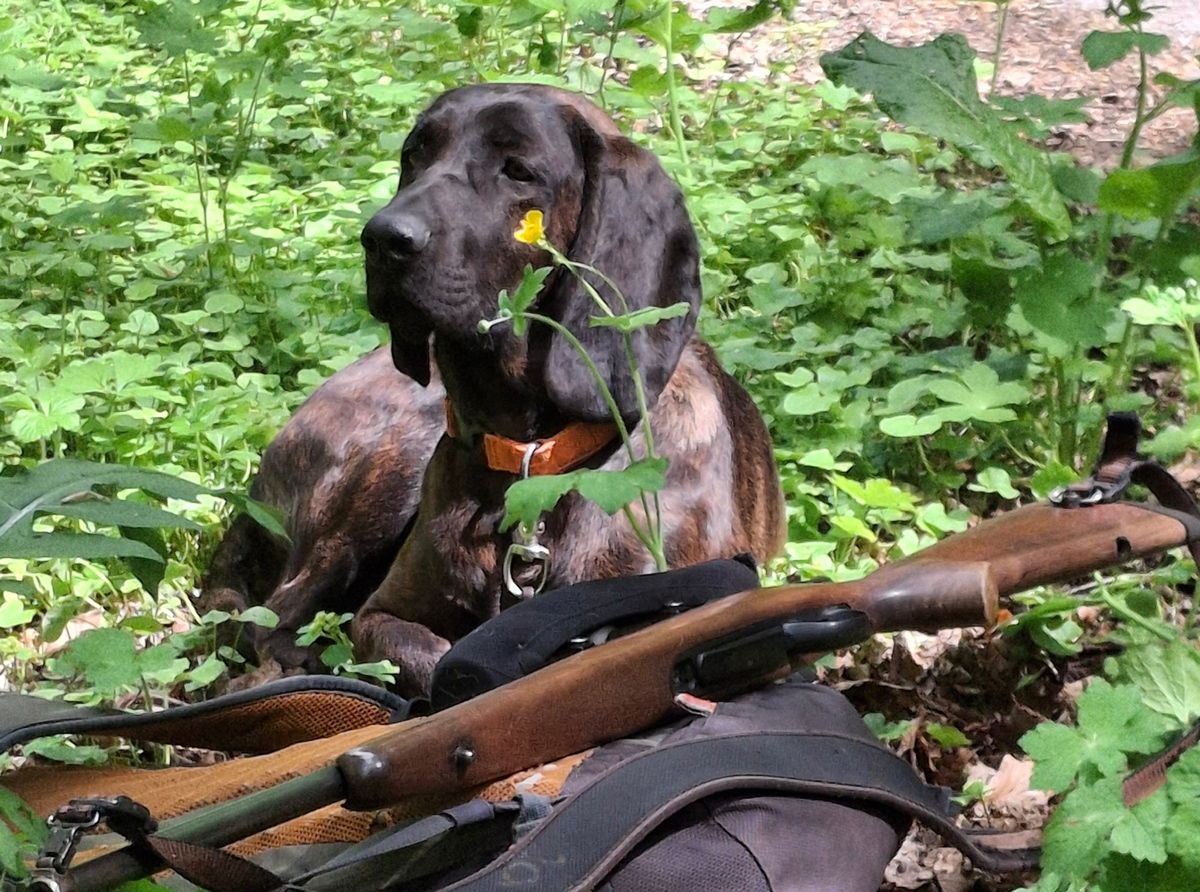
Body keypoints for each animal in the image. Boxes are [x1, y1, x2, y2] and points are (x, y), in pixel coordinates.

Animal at [200, 84, 783, 698]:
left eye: (518, 170)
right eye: (415, 155)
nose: (382, 237)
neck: (531, 461)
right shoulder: (384, 614)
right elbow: (437, 660)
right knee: (273, 622)